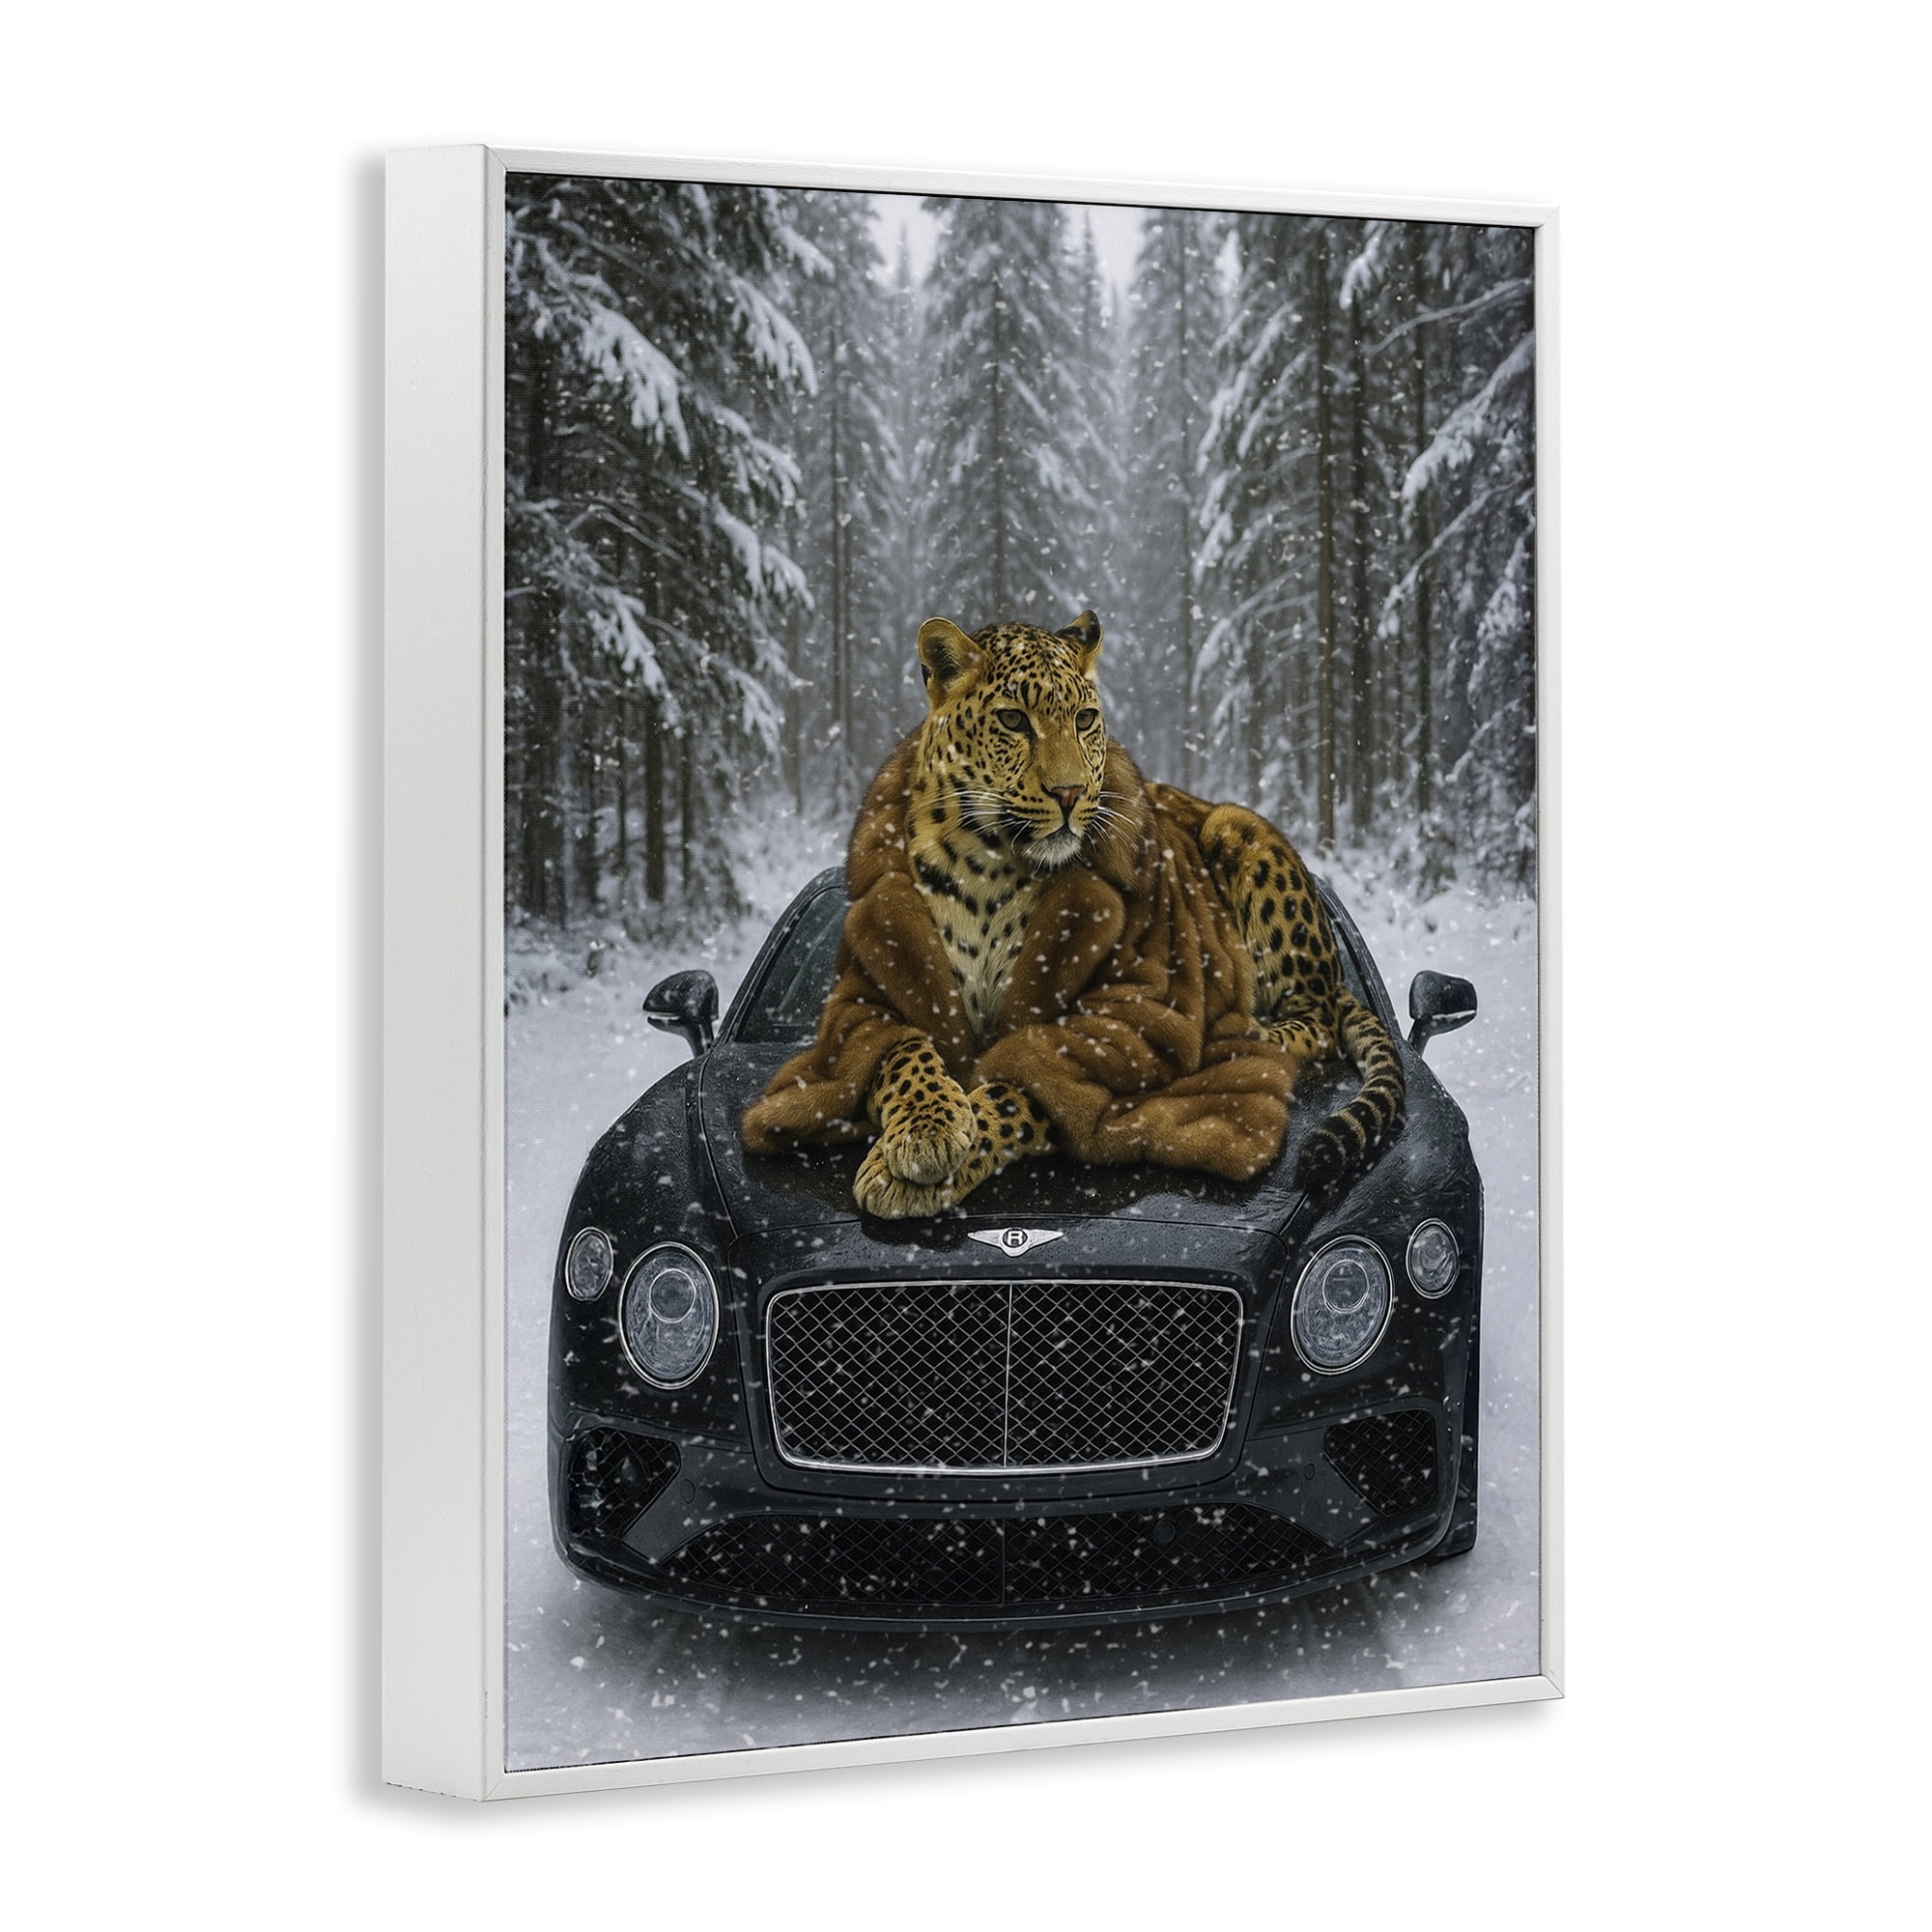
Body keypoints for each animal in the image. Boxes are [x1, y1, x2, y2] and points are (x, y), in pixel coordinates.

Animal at [849, 609, 1406, 1219]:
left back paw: (1240, 1035)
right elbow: (900, 1050)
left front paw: (912, 1169)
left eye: (1085, 719)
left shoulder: (1112, 1025)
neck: (987, 864)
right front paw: (926, 1129)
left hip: (1240, 835)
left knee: (1315, 1019)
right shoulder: (875, 996)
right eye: (1013, 720)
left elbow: (1019, 1091)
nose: (1070, 794)